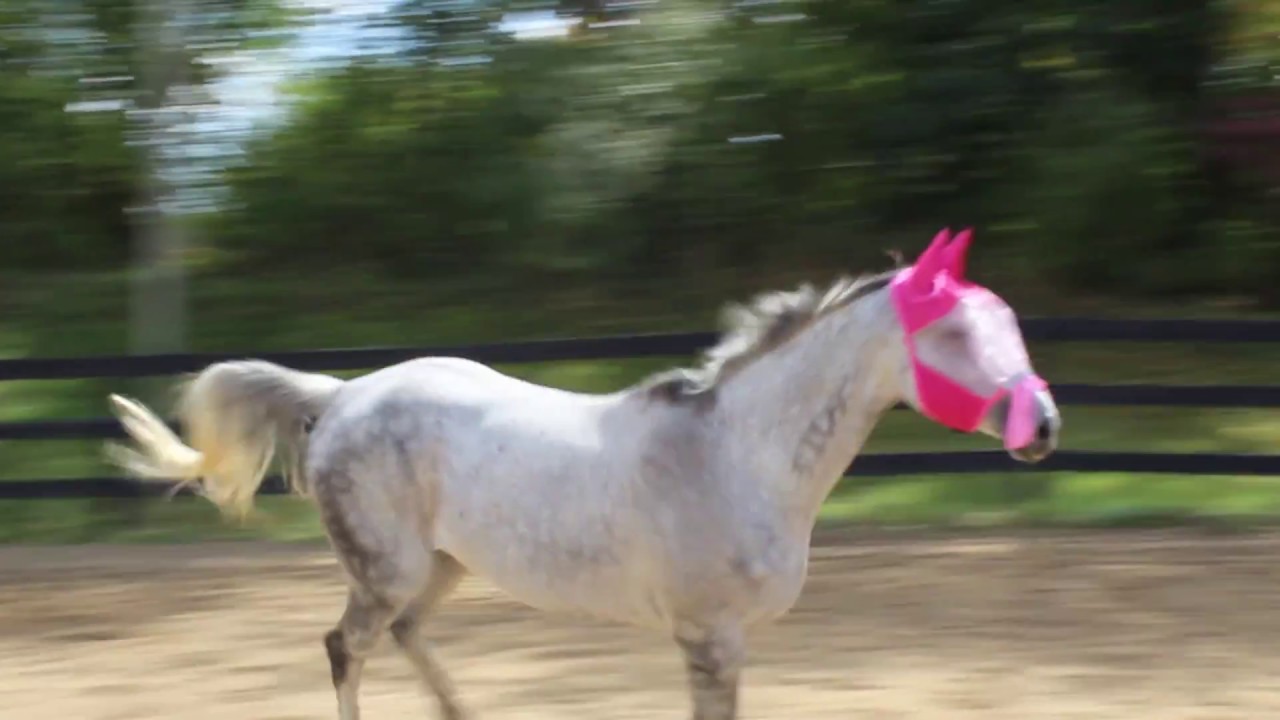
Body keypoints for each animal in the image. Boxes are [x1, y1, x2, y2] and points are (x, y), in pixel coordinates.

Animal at [105, 228, 1060, 720]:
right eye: (953, 334)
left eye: (1009, 322)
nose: (1045, 426)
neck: (736, 454)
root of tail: (342, 396)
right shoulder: (709, 638)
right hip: (387, 569)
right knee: (348, 647)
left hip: (442, 566)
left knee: (404, 637)